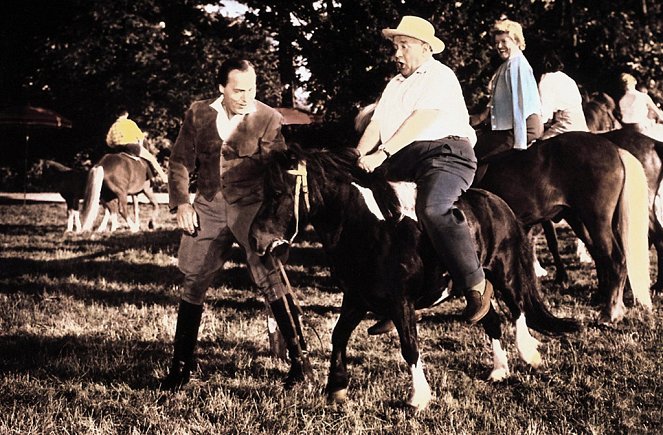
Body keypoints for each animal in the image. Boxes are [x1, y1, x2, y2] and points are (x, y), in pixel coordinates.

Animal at [252, 146, 580, 412]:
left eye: (278, 192)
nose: (256, 238)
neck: (371, 228)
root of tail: (497, 203)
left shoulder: (402, 302)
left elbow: (409, 345)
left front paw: (418, 397)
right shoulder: (356, 299)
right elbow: (339, 335)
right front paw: (336, 388)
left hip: (505, 272)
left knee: (518, 308)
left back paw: (528, 353)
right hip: (475, 287)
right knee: (490, 317)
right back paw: (499, 370)